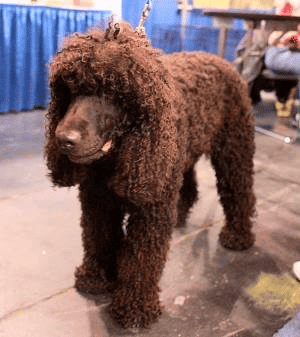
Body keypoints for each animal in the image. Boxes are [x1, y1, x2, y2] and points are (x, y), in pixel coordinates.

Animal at [44, 21, 255, 328]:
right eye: (69, 88)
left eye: (111, 92)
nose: (63, 139)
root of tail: (218, 58)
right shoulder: (98, 202)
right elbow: (98, 239)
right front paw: (96, 279)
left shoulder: (150, 211)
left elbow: (142, 260)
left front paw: (135, 308)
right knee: (189, 187)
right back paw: (180, 215)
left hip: (233, 151)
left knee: (240, 192)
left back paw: (238, 236)